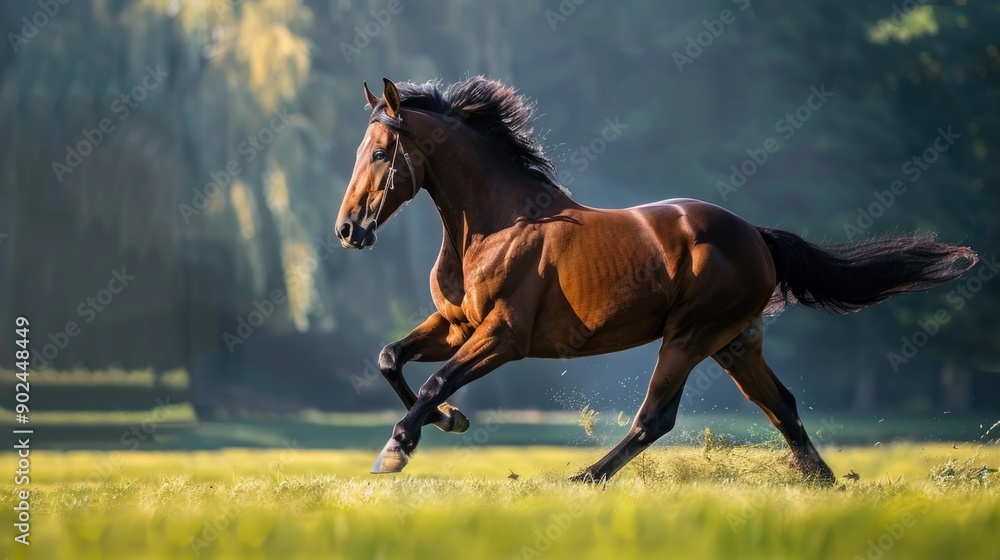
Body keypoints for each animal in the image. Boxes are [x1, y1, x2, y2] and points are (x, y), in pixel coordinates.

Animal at [335, 76, 977, 484]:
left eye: (381, 152)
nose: (348, 229)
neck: (497, 225)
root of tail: (756, 235)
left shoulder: (503, 337)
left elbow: (436, 380)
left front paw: (396, 450)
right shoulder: (455, 323)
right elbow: (391, 359)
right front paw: (449, 422)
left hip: (690, 335)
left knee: (655, 419)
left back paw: (582, 479)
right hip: (734, 344)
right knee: (782, 407)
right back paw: (824, 485)